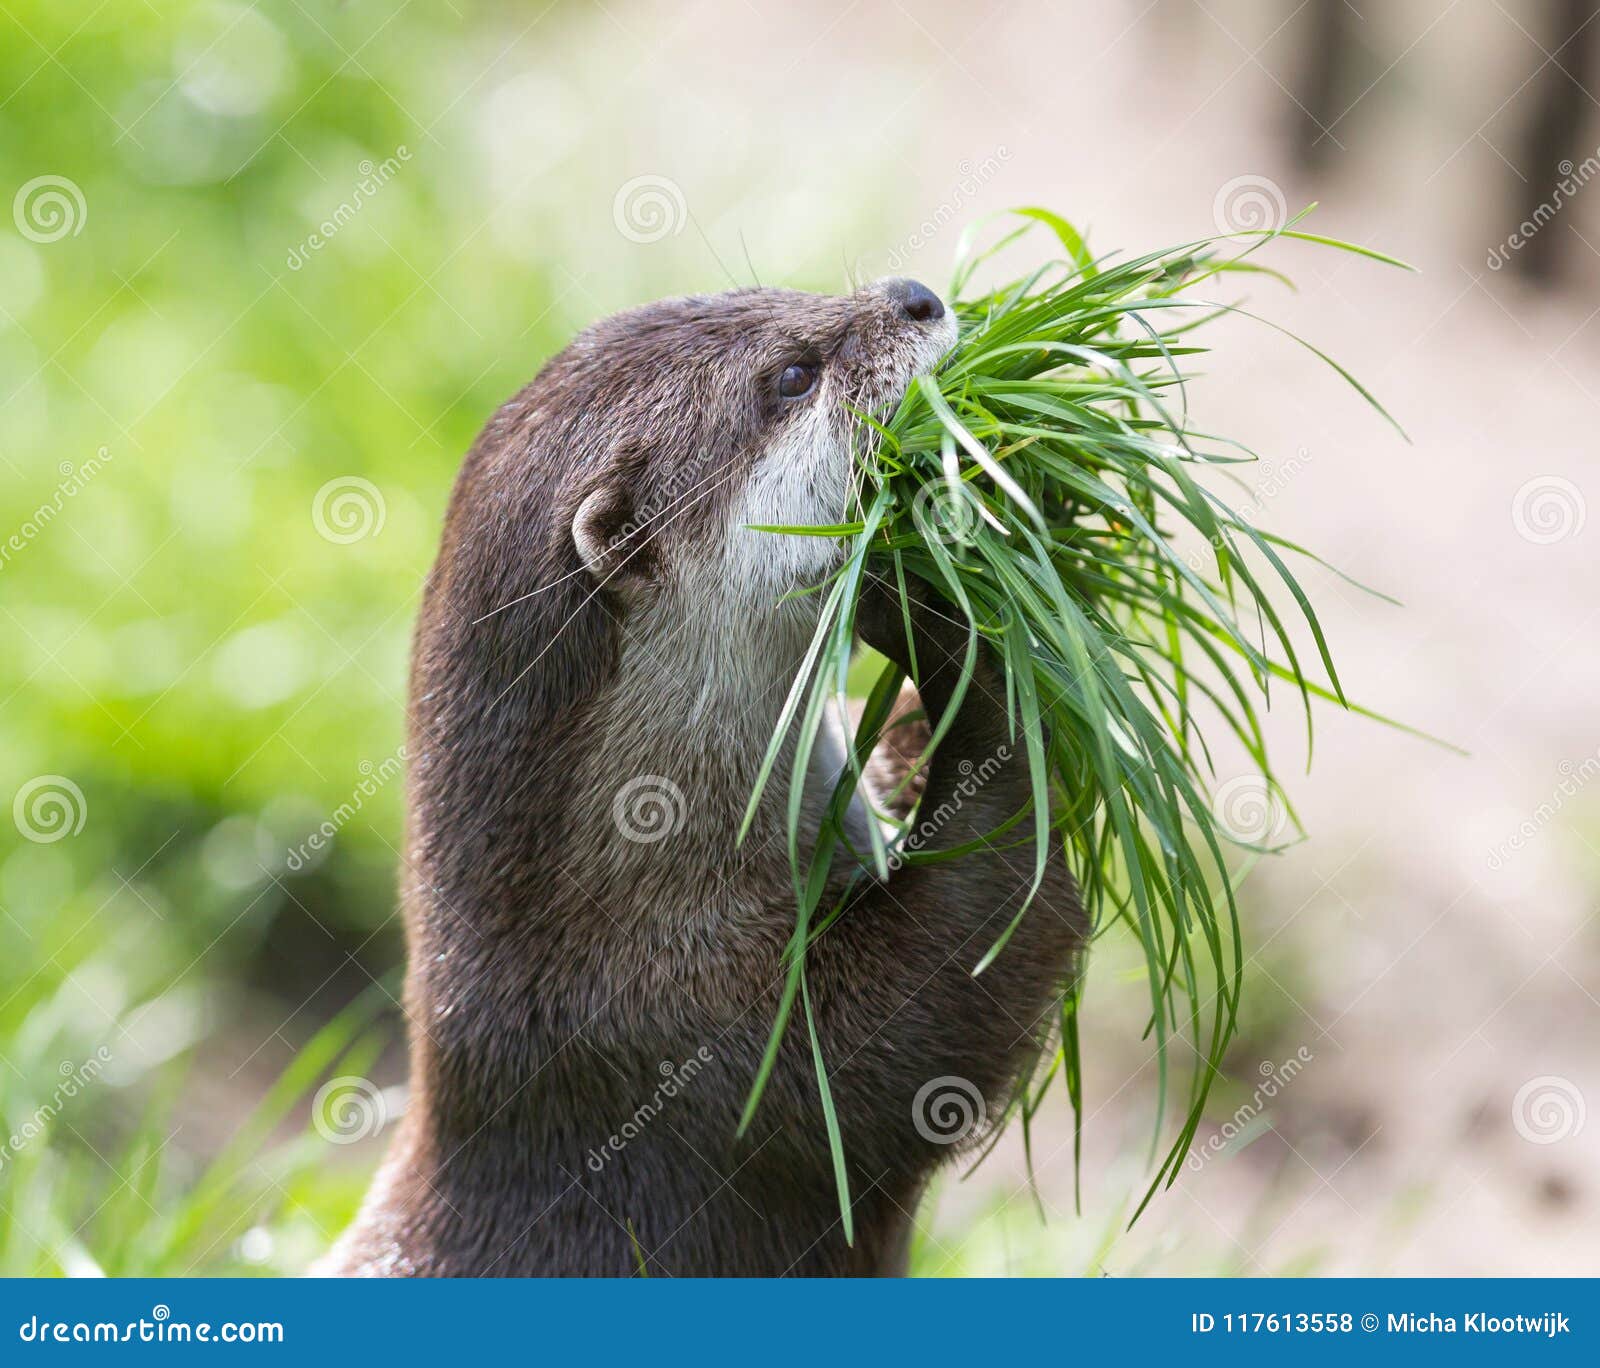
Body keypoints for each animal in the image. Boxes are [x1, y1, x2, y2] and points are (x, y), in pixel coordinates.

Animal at [320, 278, 1081, 1286]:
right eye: (793, 376)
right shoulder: (704, 1047)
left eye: (790, 294)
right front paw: (963, 622)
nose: (916, 296)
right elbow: (965, 970)